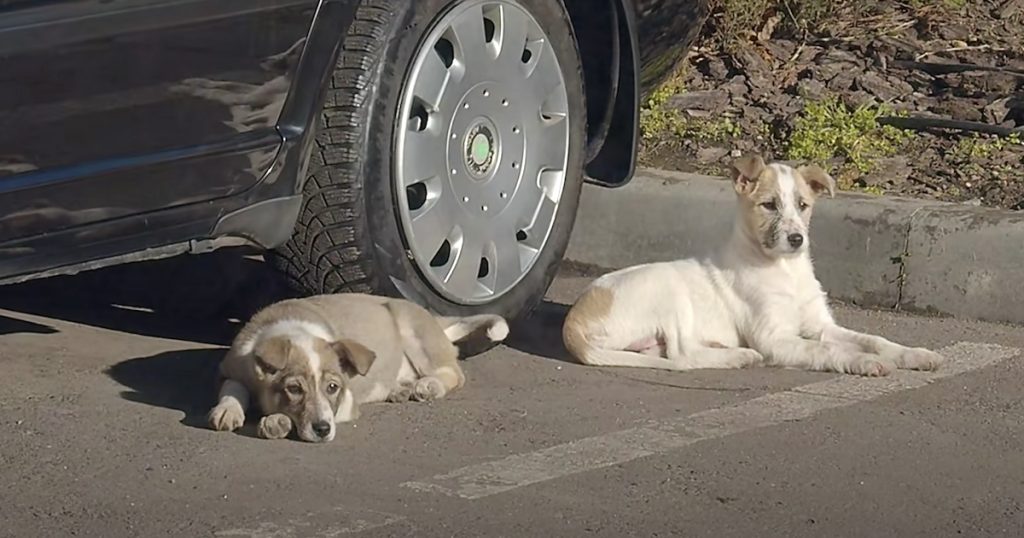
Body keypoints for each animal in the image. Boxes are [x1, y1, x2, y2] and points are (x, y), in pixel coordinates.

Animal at [208, 293, 507, 440]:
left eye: (333, 387)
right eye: (294, 389)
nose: (323, 431)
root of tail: (436, 320)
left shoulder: (347, 402)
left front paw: (274, 421)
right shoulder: (232, 368)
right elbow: (233, 389)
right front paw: (227, 411)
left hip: (411, 328)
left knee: (453, 372)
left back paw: (428, 385)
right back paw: (399, 389)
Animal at [561, 152, 942, 375]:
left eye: (803, 205)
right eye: (769, 205)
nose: (797, 240)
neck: (784, 269)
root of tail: (573, 321)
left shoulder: (820, 323)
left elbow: (872, 338)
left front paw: (912, 354)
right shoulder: (775, 338)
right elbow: (824, 348)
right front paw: (863, 362)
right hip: (666, 288)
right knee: (682, 356)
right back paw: (739, 357)